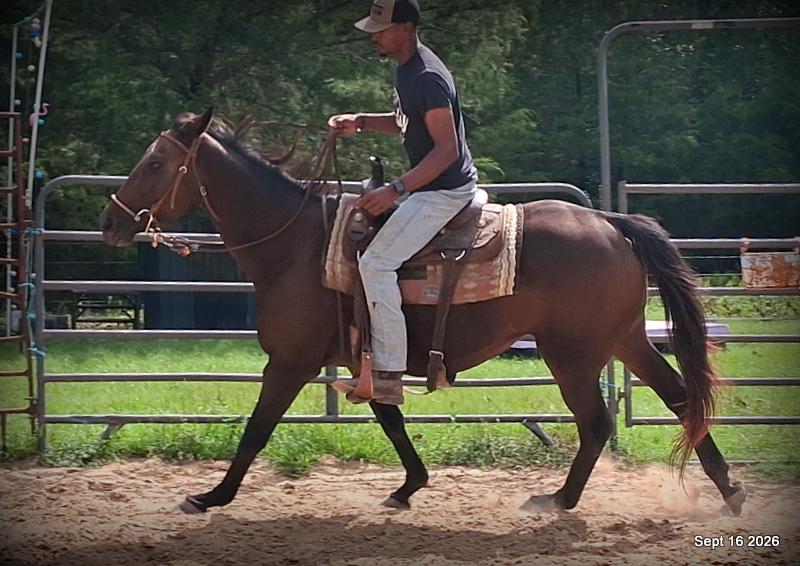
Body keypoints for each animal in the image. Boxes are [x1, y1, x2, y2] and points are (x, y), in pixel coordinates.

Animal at [100, 109, 746, 516]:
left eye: (155, 164)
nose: (110, 221)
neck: (296, 246)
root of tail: (610, 222)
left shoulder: (289, 362)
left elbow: (256, 430)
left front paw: (211, 497)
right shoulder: (364, 356)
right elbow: (388, 416)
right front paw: (410, 486)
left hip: (574, 355)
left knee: (597, 424)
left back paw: (558, 500)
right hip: (626, 340)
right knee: (681, 399)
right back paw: (730, 490)